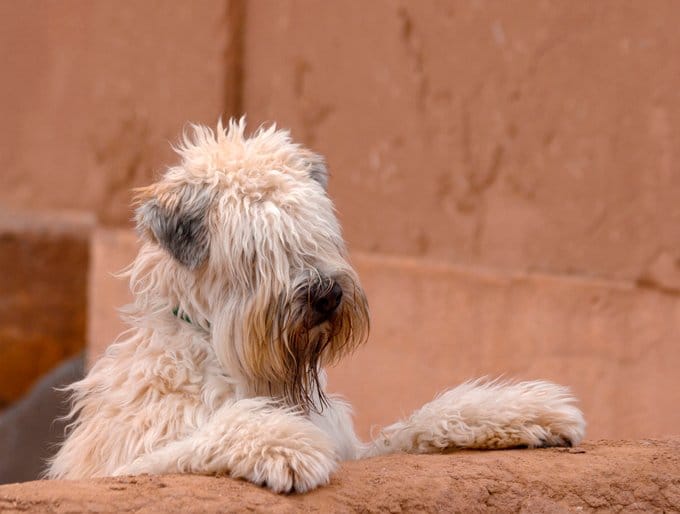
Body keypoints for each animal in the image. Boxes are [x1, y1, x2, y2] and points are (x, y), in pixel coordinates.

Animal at [46, 118, 584, 490]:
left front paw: (525, 412)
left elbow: (422, 422)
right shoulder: (128, 460)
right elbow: (203, 439)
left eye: (316, 230)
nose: (327, 295)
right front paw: (283, 444)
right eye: (254, 250)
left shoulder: (357, 448)